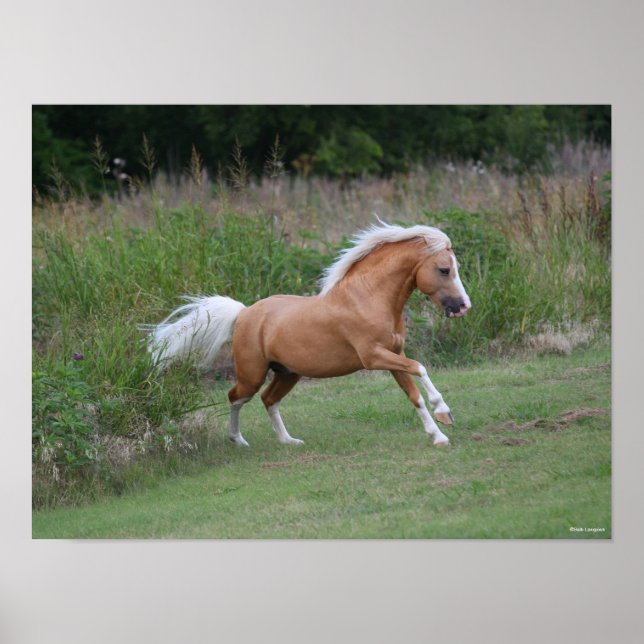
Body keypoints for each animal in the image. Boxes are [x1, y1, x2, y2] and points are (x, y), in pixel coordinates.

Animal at [147, 220, 471, 447]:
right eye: (444, 270)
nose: (463, 306)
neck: (367, 298)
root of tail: (244, 313)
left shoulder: (394, 356)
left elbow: (413, 394)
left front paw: (439, 434)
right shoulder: (374, 357)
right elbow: (420, 368)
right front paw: (444, 411)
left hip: (287, 373)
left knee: (268, 399)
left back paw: (288, 441)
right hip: (252, 373)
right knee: (236, 397)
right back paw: (238, 440)